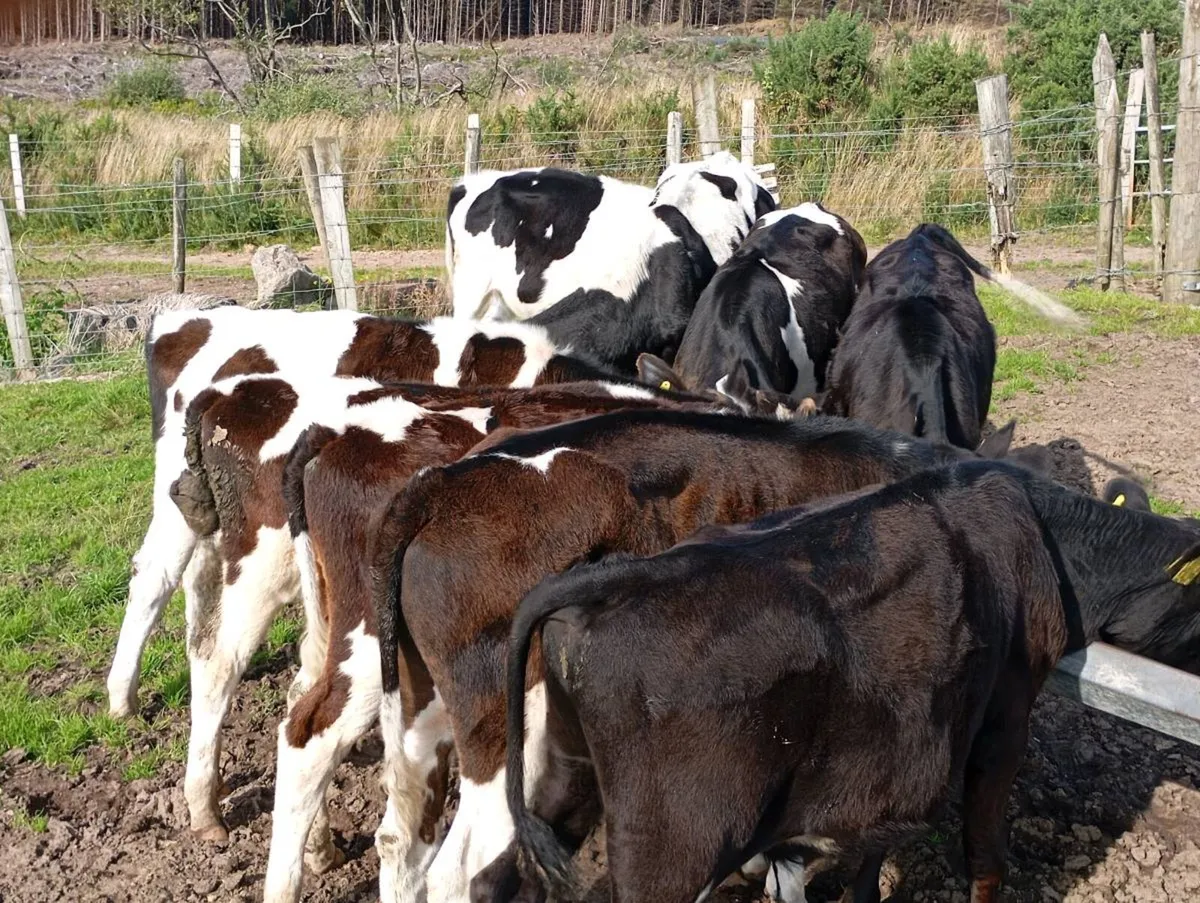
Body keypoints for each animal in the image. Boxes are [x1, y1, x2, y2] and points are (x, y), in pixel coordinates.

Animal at [503, 459, 1200, 903]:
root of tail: (613, 579)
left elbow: (869, 864)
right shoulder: (1005, 718)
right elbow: (985, 858)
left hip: (568, 773)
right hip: (671, 850)